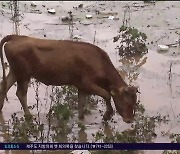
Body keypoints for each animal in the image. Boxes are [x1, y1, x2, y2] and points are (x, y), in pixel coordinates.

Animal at [0, 34, 138, 122]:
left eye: (135, 102)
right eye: (126, 102)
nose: (130, 120)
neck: (100, 62)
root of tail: (17, 37)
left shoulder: (82, 87)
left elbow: (81, 104)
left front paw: (81, 120)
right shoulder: (87, 83)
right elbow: (107, 95)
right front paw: (107, 115)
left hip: (15, 71)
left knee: (4, 86)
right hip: (23, 74)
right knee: (20, 94)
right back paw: (28, 117)